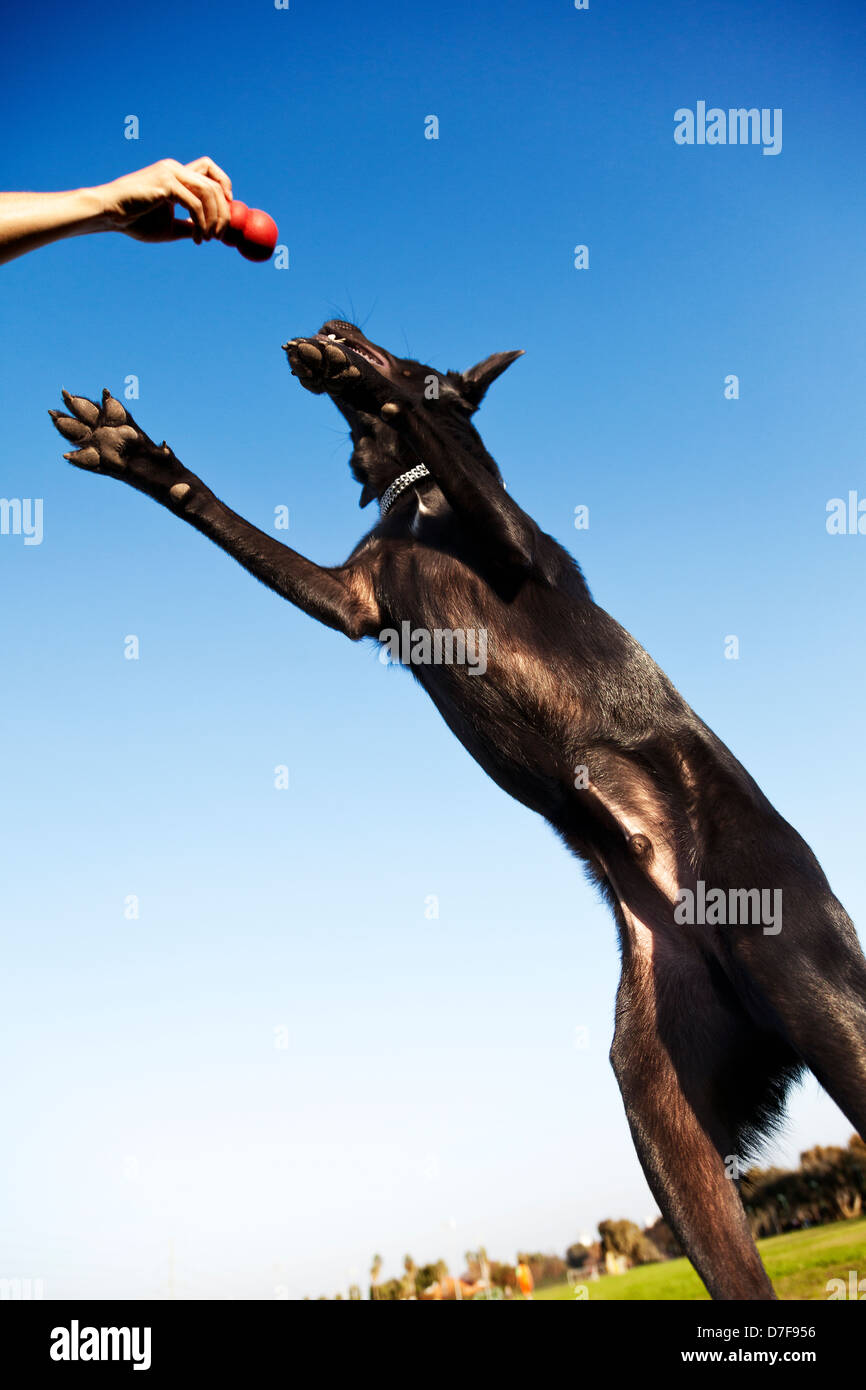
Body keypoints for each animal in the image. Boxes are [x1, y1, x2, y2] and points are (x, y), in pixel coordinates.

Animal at [50, 319, 866, 1295]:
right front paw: (137, 457)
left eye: (418, 356)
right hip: (663, 1111)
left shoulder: (511, 546)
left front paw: (373, 375)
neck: (416, 499)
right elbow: (222, 516)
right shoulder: (353, 598)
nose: (336, 329)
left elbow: (446, 438)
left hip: (810, 984)